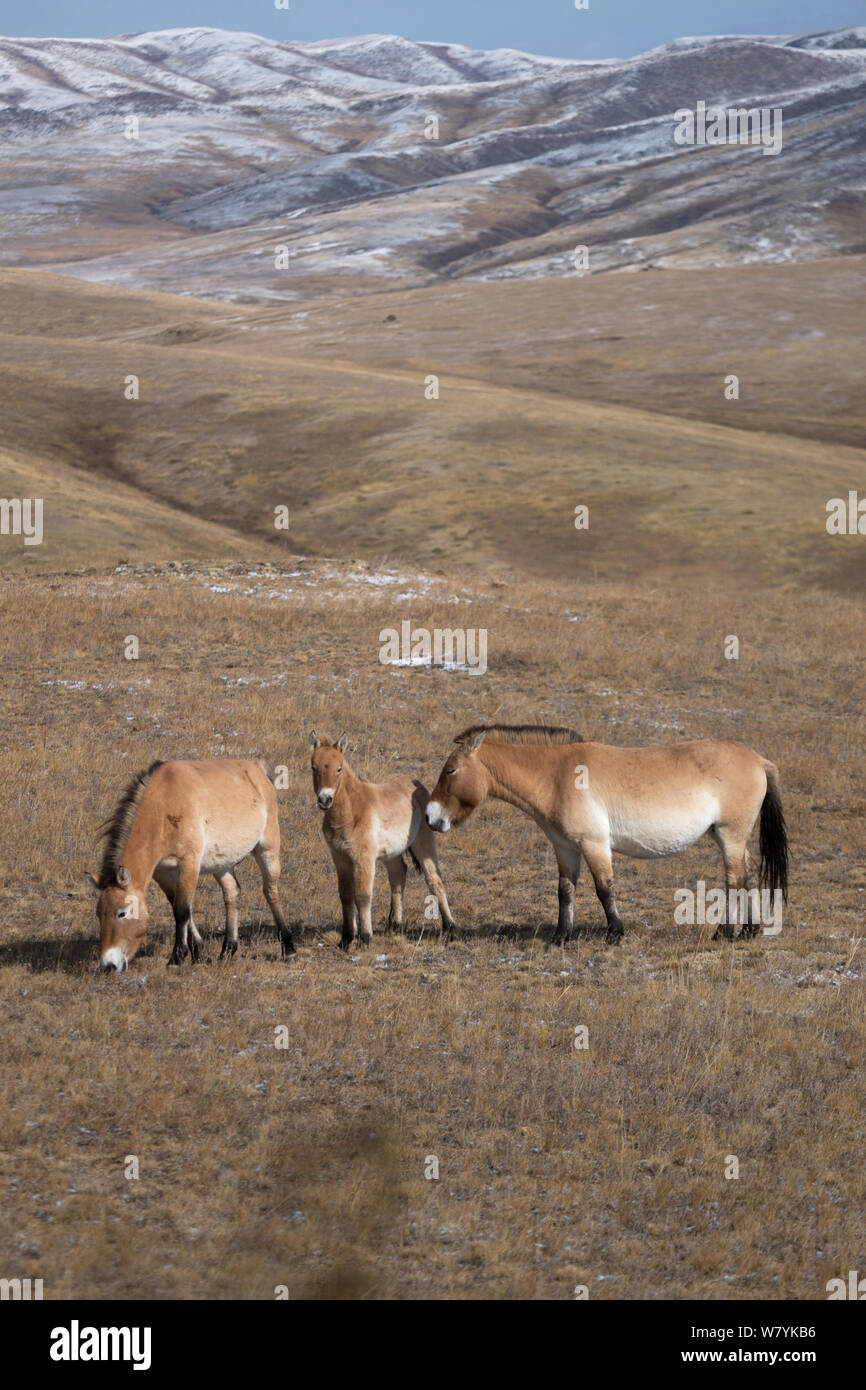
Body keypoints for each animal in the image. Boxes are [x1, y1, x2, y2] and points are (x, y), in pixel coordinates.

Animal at [88, 756, 296, 973]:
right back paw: (227, 950)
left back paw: (288, 948)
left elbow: (181, 910)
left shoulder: (189, 865)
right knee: (232, 892)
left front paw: (176, 958)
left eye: (122, 913)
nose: (109, 964)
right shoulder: (163, 873)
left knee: (270, 891)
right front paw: (197, 952)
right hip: (221, 864)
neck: (164, 805)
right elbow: (180, 907)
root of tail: (257, 768)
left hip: (267, 849)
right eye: (99, 914)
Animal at [311, 733, 461, 950]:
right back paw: (395, 926)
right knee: (398, 874)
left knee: (434, 879)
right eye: (313, 767)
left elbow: (363, 896)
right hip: (392, 852)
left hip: (423, 843)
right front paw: (346, 939)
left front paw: (365, 939)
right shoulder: (340, 858)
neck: (351, 810)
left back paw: (450, 928)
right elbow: (345, 896)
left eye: (339, 768)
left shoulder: (364, 858)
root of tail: (418, 785)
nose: (325, 799)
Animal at [428, 728, 795, 945]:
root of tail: (758, 760)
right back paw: (751, 930)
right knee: (749, 875)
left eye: (450, 770)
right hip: (732, 838)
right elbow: (565, 891)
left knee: (734, 879)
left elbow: (604, 889)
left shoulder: (595, 844)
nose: (431, 816)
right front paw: (561, 936)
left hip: (730, 835)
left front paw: (615, 933)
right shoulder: (566, 848)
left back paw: (726, 932)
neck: (557, 775)